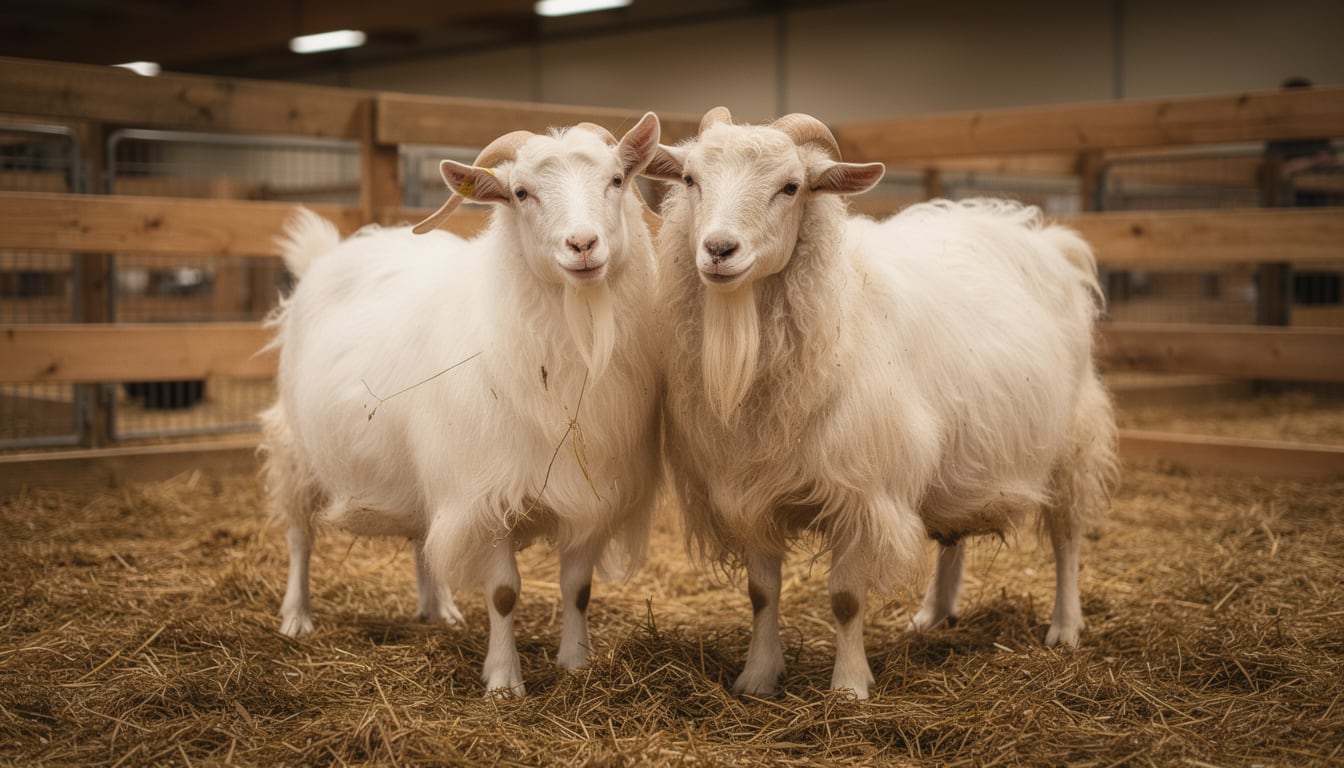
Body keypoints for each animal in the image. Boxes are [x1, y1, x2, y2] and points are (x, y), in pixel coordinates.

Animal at [259, 113, 664, 696]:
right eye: (520, 193)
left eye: (615, 179)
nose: (583, 244)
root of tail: (331, 252)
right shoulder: (483, 492)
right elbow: (504, 593)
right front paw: (504, 681)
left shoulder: (590, 493)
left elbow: (577, 586)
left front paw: (577, 661)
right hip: (296, 446)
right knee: (298, 536)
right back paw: (296, 616)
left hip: (421, 469)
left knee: (424, 540)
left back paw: (439, 610)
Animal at [645, 107, 1118, 699]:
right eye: (690, 180)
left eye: (792, 187)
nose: (717, 250)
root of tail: (1042, 236)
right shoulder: (751, 490)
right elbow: (762, 593)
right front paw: (757, 677)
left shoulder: (861, 491)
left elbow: (847, 601)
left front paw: (848, 687)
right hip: (962, 449)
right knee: (953, 535)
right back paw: (934, 615)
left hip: (1071, 437)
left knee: (1066, 538)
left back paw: (1065, 626)